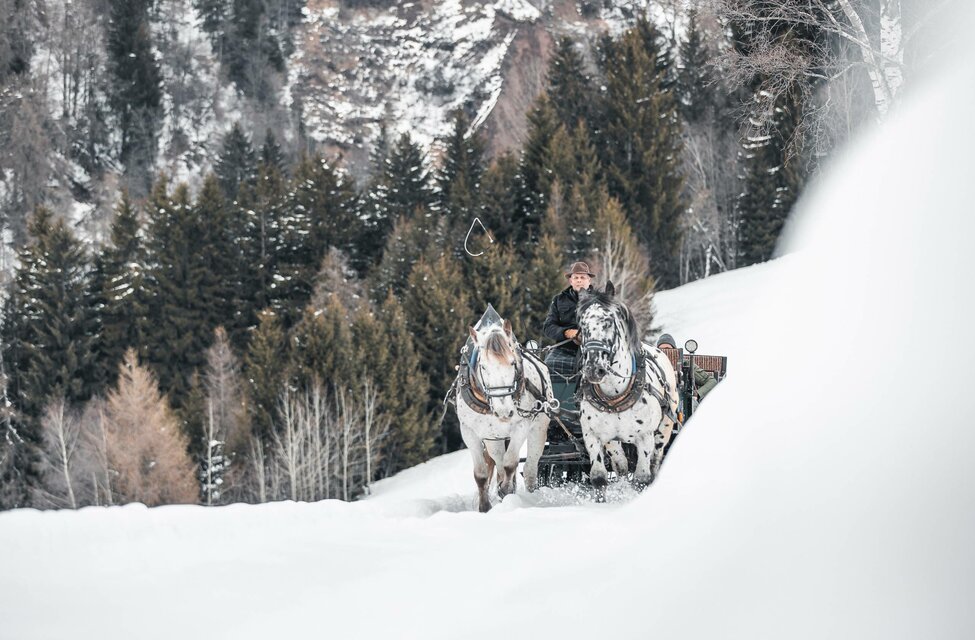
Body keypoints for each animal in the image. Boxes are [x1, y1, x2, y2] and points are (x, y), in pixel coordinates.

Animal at [456, 320, 552, 516]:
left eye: (513, 362)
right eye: (483, 366)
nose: (504, 411)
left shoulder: (521, 426)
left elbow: (510, 463)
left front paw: (507, 491)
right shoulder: (469, 432)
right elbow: (481, 474)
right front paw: (485, 508)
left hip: (538, 429)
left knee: (529, 469)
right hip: (494, 437)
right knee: (498, 460)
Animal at [572, 282, 680, 496]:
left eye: (608, 322)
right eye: (582, 324)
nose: (593, 369)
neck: (615, 394)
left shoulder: (645, 437)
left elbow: (642, 478)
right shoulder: (593, 436)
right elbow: (600, 477)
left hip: (663, 430)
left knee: (655, 462)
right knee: (621, 464)